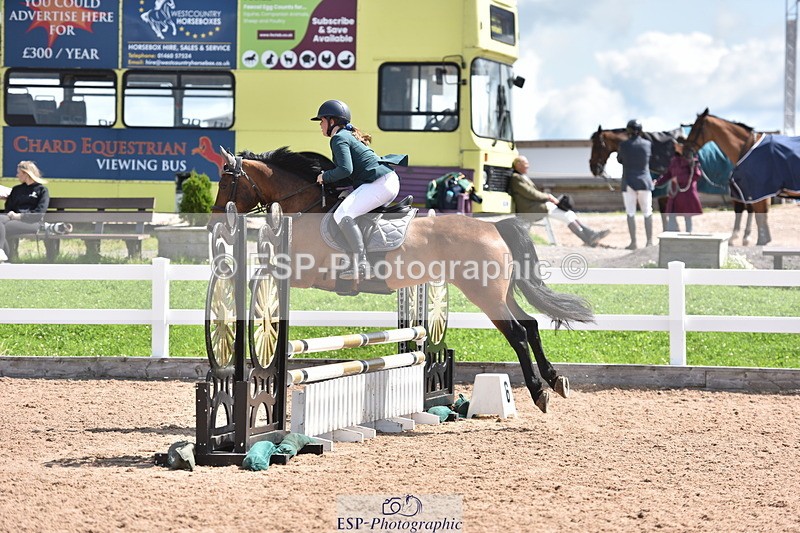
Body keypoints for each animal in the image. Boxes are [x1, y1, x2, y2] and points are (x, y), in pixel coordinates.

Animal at [212, 146, 596, 413]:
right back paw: (555, 380)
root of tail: (495, 227)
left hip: (485, 295)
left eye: (226, 181)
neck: (304, 206)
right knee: (530, 325)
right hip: (500, 294)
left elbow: (263, 285)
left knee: (517, 333)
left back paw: (539, 392)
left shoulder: (302, 273)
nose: (215, 219)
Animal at [683, 108, 800, 246]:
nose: (685, 151)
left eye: (695, 127)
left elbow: (757, 214)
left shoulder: (757, 191)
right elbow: (758, 214)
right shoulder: (754, 193)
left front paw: (754, 240)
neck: (748, 148)